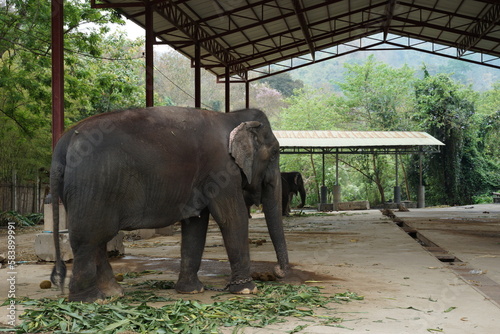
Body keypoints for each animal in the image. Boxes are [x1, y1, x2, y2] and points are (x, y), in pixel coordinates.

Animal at [50, 105, 290, 302]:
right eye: (275, 153)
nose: (278, 271)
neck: (232, 116)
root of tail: (64, 141)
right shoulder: (221, 168)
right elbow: (232, 217)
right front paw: (247, 290)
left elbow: (196, 224)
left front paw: (190, 291)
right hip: (93, 184)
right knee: (88, 238)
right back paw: (90, 300)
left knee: (96, 239)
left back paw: (113, 293)